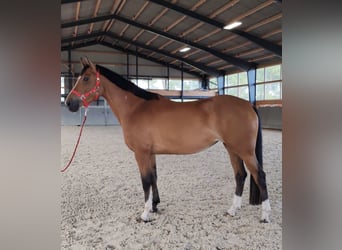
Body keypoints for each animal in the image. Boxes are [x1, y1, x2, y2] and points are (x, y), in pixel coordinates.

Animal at [65, 57, 272, 223]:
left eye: (85, 78)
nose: (69, 103)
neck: (135, 108)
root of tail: (248, 105)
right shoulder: (150, 153)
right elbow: (154, 177)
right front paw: (155, 206)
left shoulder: (141, 153)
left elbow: (145, 181)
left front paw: (145, 214)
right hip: (231, 148)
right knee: (240, 175)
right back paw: (232, 210)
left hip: (244, 150)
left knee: (259, 175)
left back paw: (265, 216)